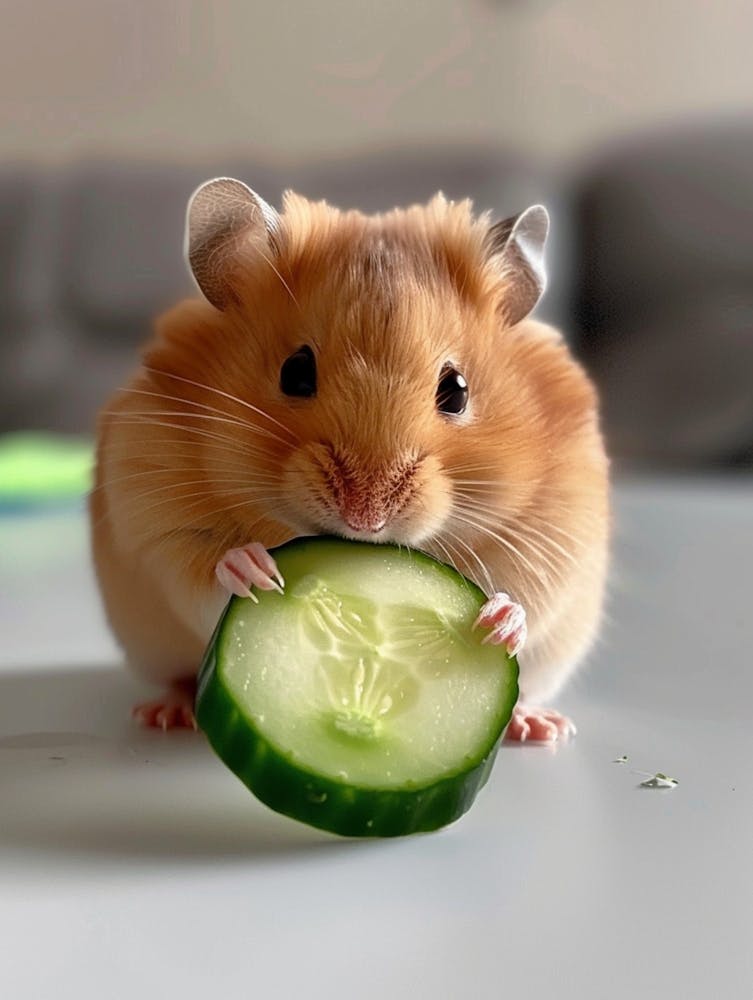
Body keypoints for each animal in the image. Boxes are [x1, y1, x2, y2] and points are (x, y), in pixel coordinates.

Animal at [89, 178, 609, 741]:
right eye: (295, 373)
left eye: (457, 390)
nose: (366, 516)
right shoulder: (159, 522)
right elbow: (205, 571)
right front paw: (254, 568)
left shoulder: (553, 542)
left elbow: (528, 598)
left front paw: (500, 619)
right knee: (179, 677)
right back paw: (166, 714)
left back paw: (540, 726)